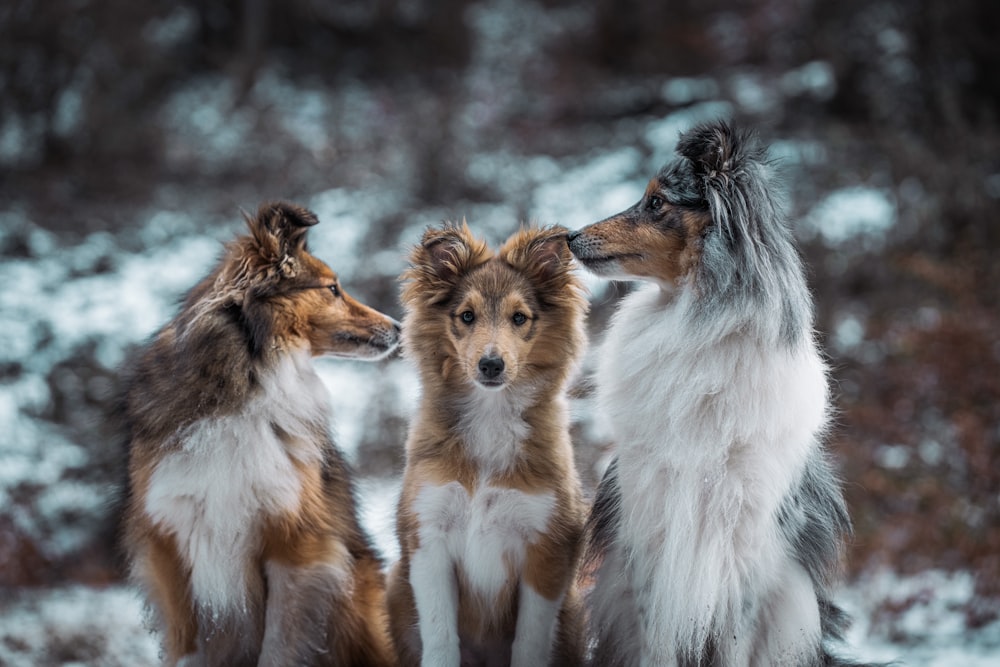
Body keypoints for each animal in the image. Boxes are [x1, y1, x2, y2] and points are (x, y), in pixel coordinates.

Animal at [119, 201, 396, 664]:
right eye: (333, 288)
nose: (398, 327)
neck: (243, 385)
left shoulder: (296, 546)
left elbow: (279, 648)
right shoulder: (168, 545)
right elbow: (187, 645)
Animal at [386, 226, 588, 667]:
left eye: (519, 317)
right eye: (466, 316)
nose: (491, 364)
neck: (490, 415)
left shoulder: (545, 549)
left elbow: (530, 642)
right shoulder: (429, 536)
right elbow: (440, 638)